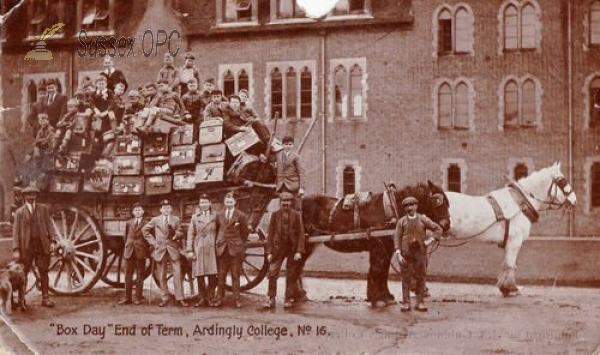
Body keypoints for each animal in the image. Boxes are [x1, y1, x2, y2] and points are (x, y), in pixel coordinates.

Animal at [296, 181, 450, 308]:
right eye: (438, 201)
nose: (447, 224)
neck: (391, 208)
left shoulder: (387, 248)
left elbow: (384, 270)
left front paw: (385, 296)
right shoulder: (379, 247)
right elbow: (378, 269)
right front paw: (377, 299)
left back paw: (300, 294)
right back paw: (296, 295)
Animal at [446, 163, 576, 296]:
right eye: (562, 181)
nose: (574, 199)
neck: (520, 204)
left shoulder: (508, 242)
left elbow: (505, 264)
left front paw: (504, 287)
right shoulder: (515, 241)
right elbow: (510, 264)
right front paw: (511, 288)